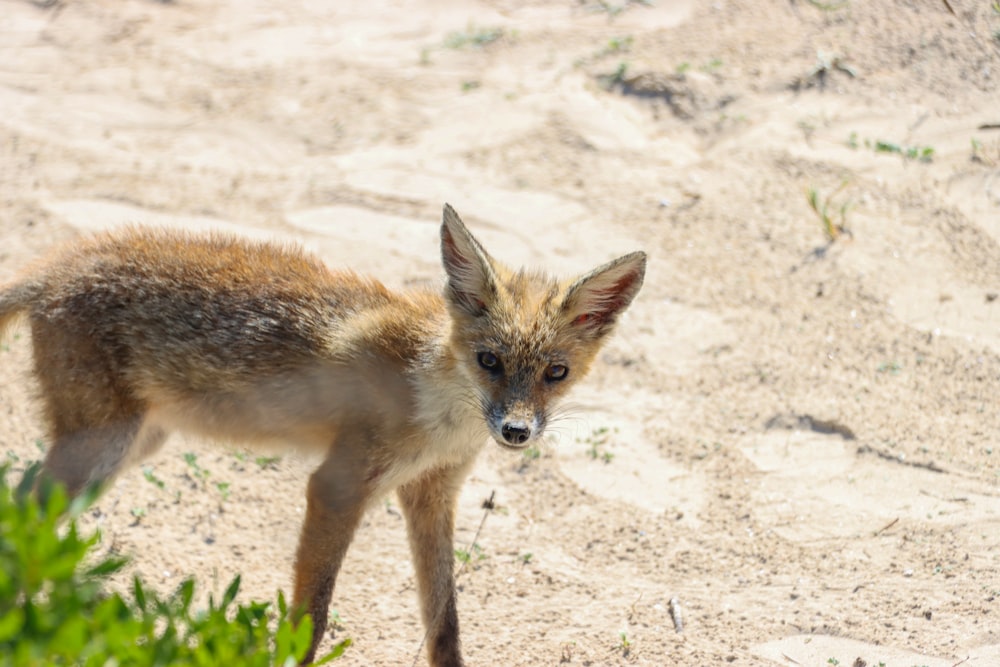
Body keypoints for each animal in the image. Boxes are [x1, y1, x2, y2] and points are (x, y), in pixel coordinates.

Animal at [0, 205, 648, 667]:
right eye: (489, 361)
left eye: (554, 373)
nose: (515, 431)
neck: (436, 408)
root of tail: (55, 266)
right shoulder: (337, 485)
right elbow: (312, 617)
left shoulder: (432, 495)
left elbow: (444, 623)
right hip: (102, 446)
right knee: (24, 512)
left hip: (134, 445)